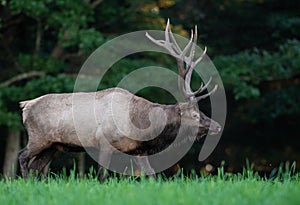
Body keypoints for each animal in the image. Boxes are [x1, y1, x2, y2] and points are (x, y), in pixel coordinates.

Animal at [18, 20, 220, 179]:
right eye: (195, 114)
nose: (217, 126)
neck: (141, 126)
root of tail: (25, 106)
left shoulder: (139, 150)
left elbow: (152, 176)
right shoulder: (103, 142)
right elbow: (102, 177)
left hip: (52, 145)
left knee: (35, 167)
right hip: (38, 137)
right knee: (22, 157)